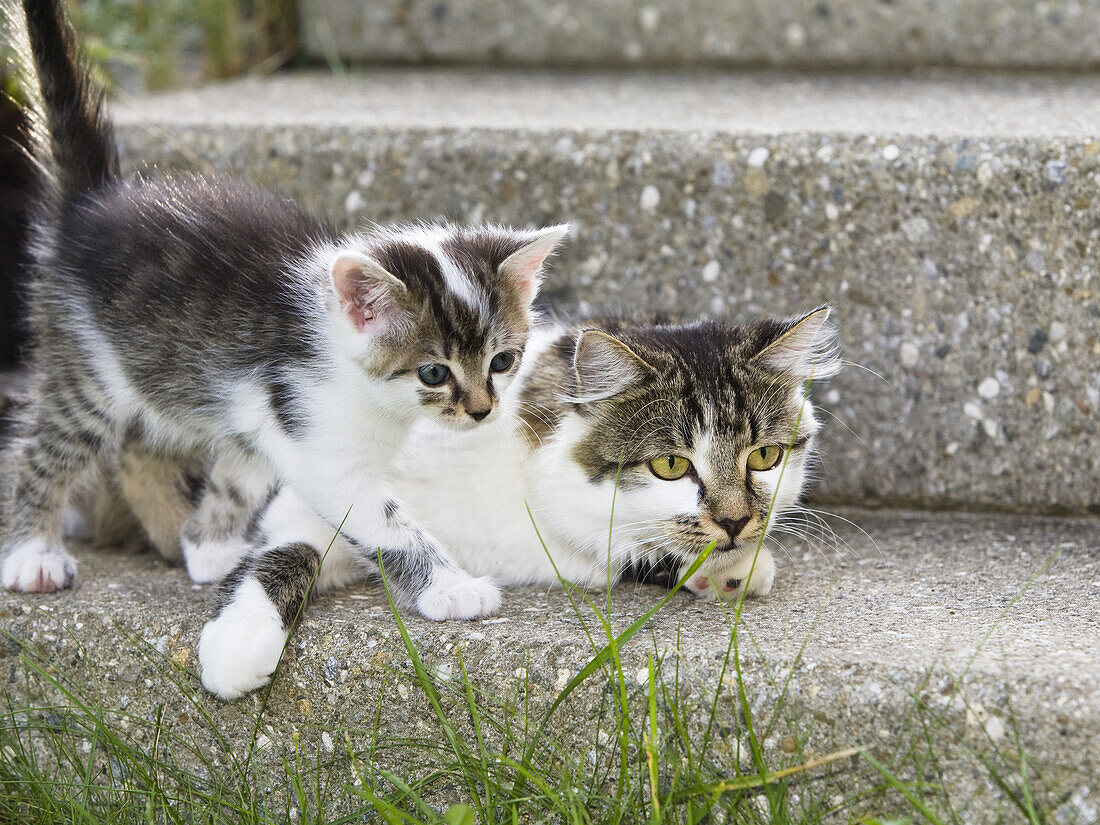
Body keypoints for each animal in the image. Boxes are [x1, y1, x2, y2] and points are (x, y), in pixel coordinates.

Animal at [0, 0, 567, 620]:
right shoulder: (320, 444)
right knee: (45, 447)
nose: (483, 412)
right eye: (434, 373)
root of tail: (94, 204)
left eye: (503, 361)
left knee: (157, 448)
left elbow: (246, 477)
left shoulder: (279, 418)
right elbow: (387, 522)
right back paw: (33, 553)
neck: (369, 389)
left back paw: (198, 544)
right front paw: (451, 587)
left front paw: (223, 550)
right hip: (88, 364)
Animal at [111, 310, 836, 699]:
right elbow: (287, 551)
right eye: (671, 465)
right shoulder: (319, 486)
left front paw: (728, 567)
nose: (737, 521)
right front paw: (236, 646)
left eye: (765, 456)